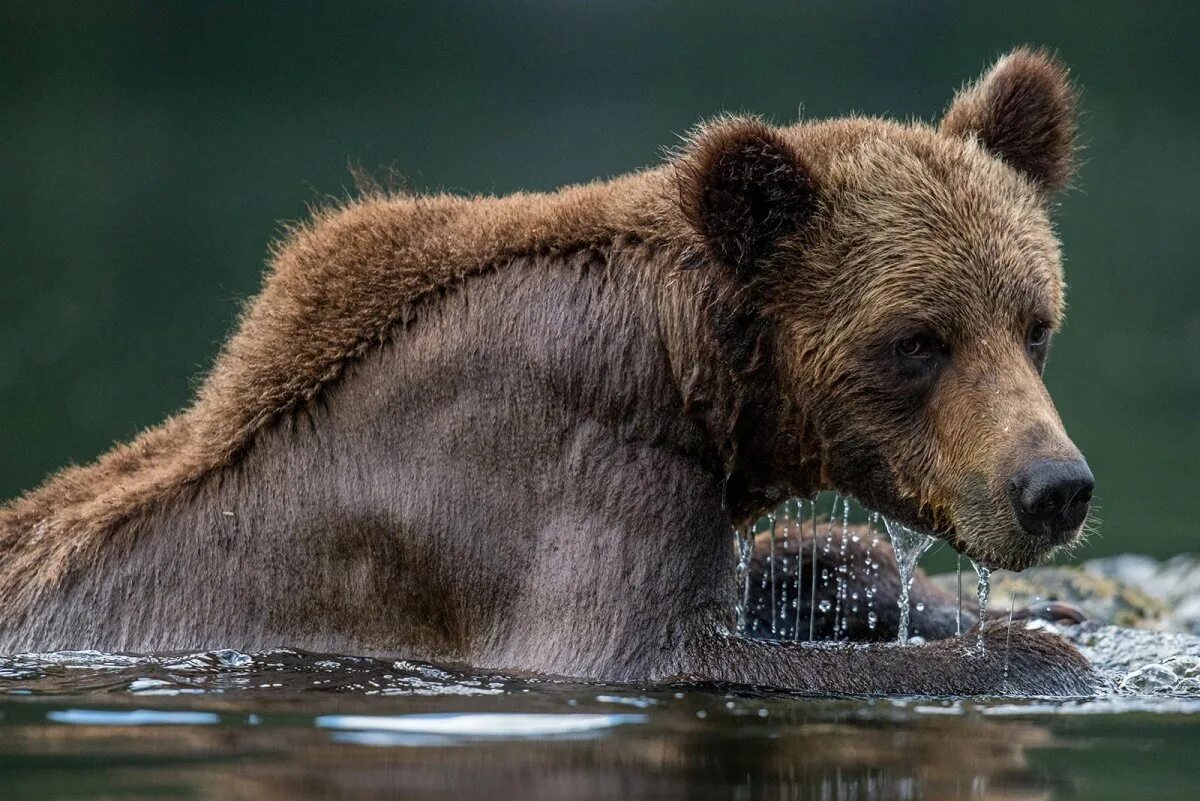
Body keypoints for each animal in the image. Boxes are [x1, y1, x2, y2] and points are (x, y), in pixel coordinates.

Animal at [0, 50, 1099, 695]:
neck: (681, 374)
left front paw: (1013, 609)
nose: (1053, 487)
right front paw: (1029, 653)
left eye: (1034, 324)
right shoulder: (557, 475)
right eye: (918, 341)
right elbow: (658, 650)